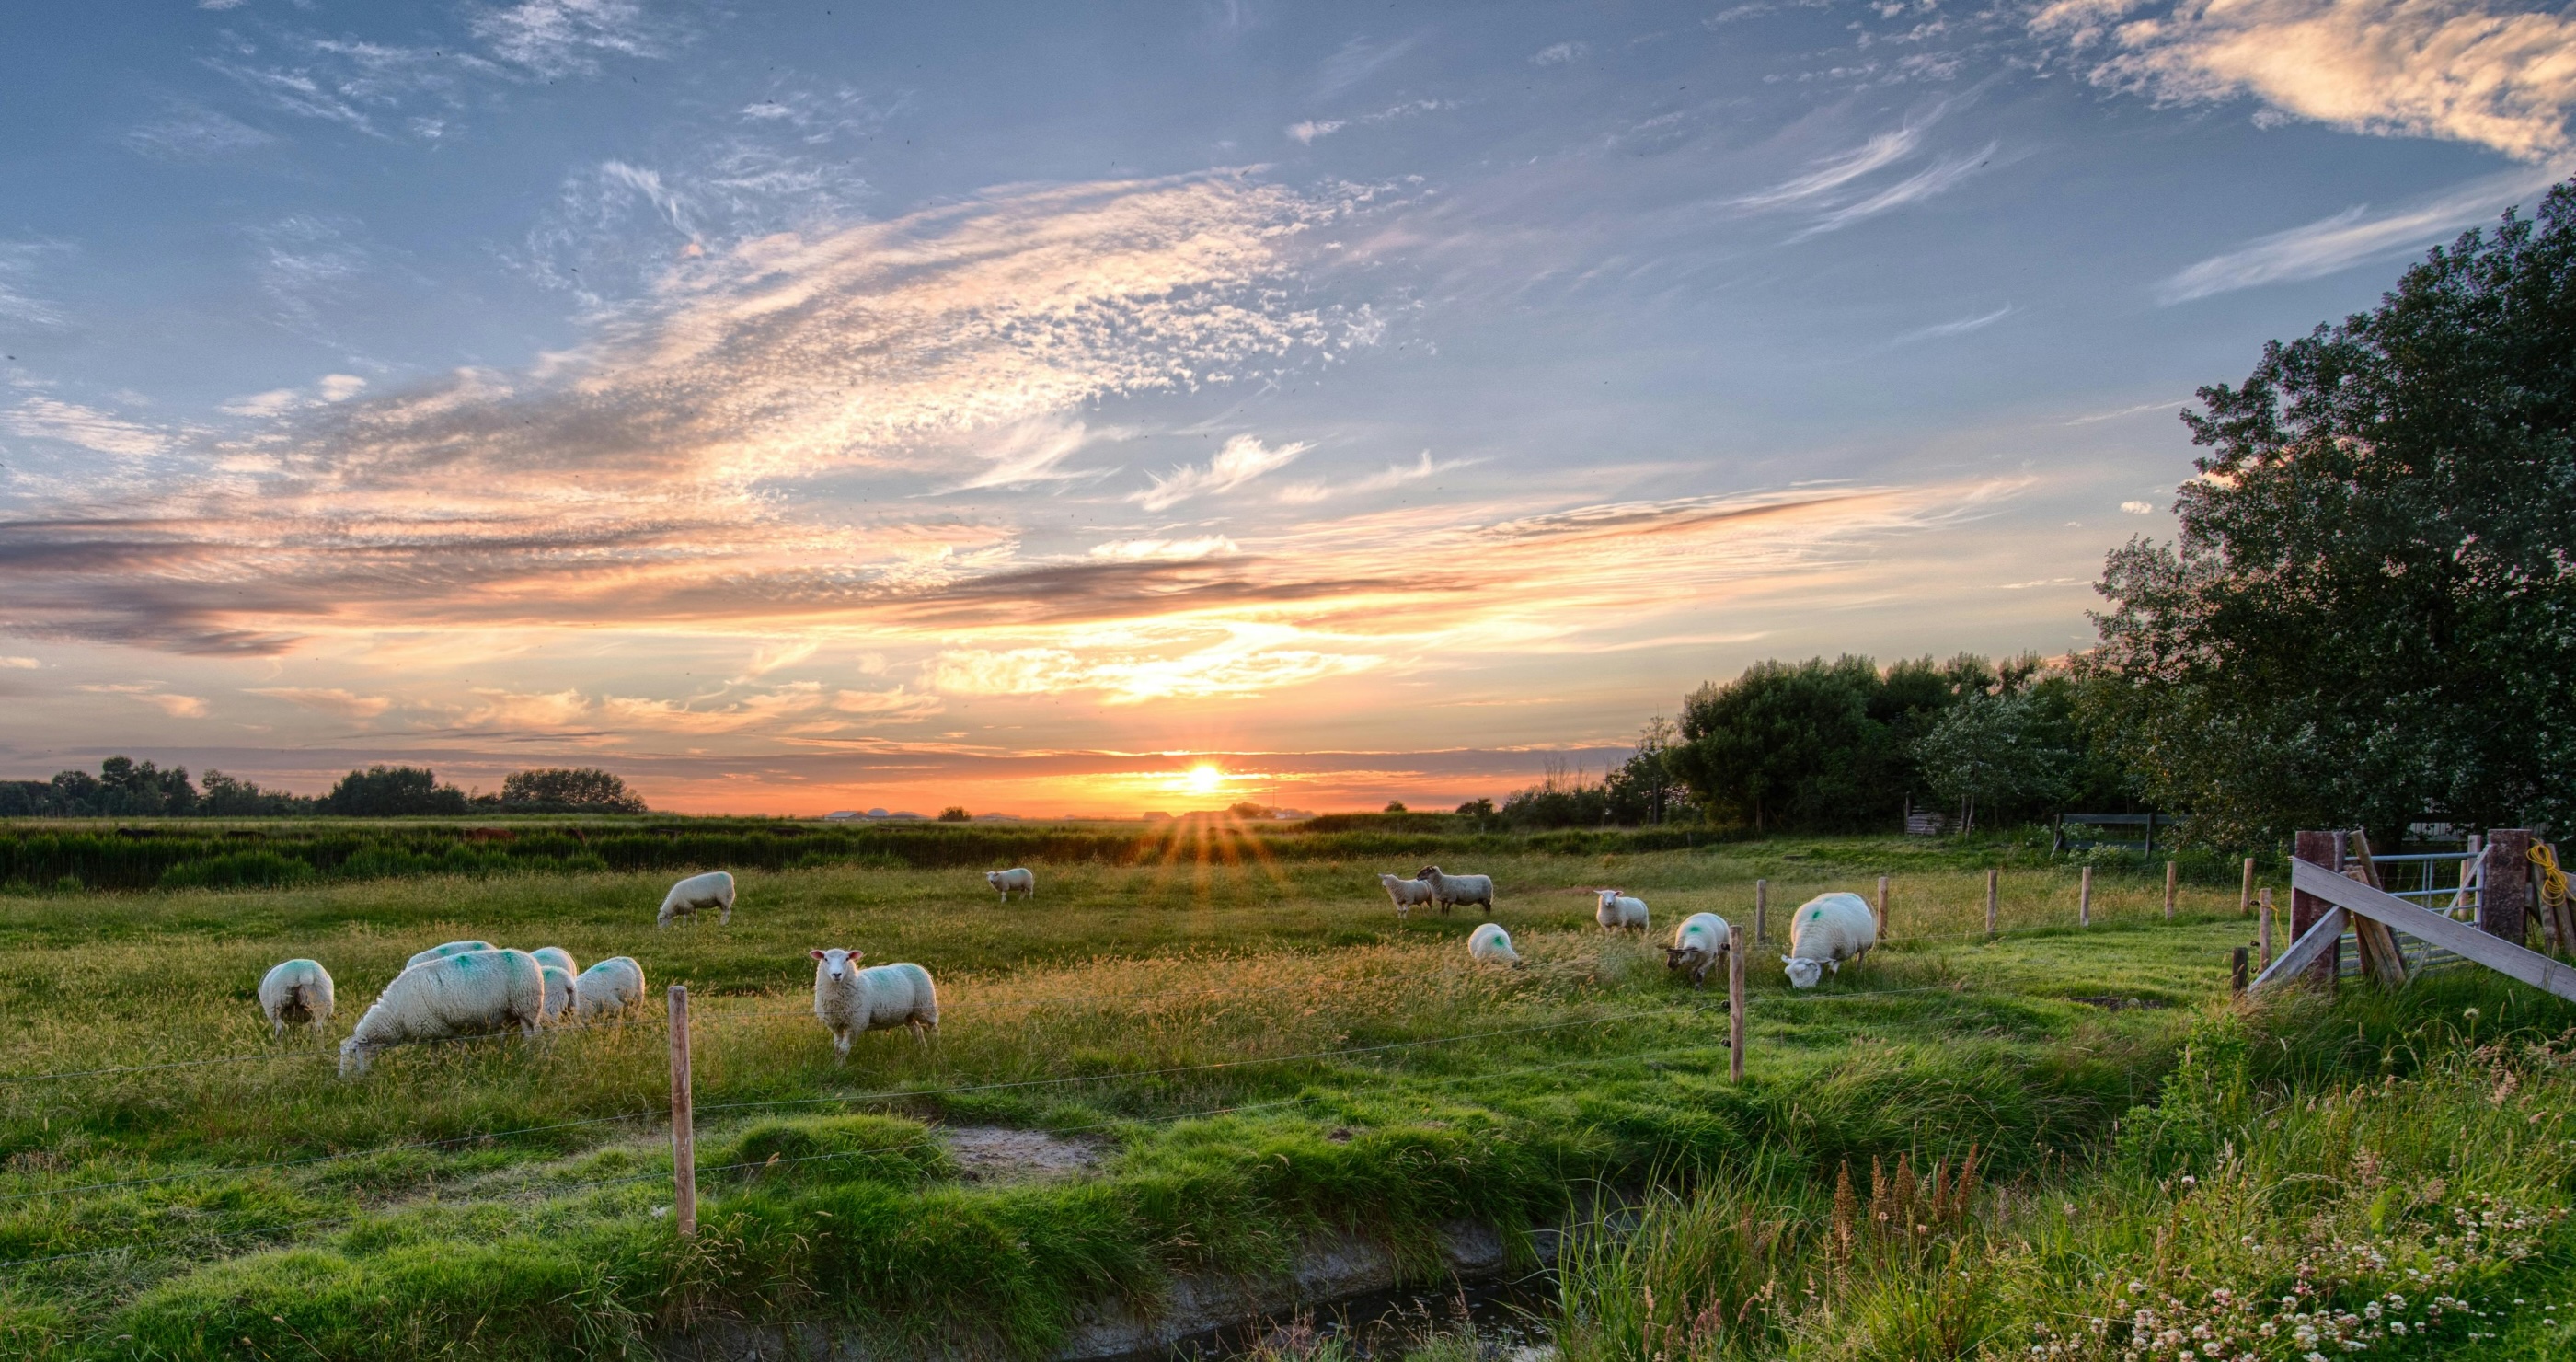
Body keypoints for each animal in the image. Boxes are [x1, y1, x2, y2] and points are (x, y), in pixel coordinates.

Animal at [339, 947, 546, 1070]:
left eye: (353, 1053)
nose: (343, 1081)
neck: (395, 1015)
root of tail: (533, 961)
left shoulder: (441, 1028)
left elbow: (457, 1046)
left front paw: (465, 1063)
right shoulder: (434, 1030)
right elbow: (436, 1051)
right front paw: (434, 1066)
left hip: (527, 1007)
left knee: (534, 1034)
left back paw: (531, 1055)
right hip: (513, 1012)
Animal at [809, 947, 942, 1060]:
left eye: (847, 959)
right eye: (825, 959)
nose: (837, 974)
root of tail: (916, 965)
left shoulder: (856, 1024)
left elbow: (843, 1050)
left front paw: (840, 1069)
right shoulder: (836, 1025)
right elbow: (837, 1049)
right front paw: (837, 1065)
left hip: (926, 1007)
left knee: (934, 1029)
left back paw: (935, 1050)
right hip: (908, 1014)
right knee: (917, 1031)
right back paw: (922, 1050)